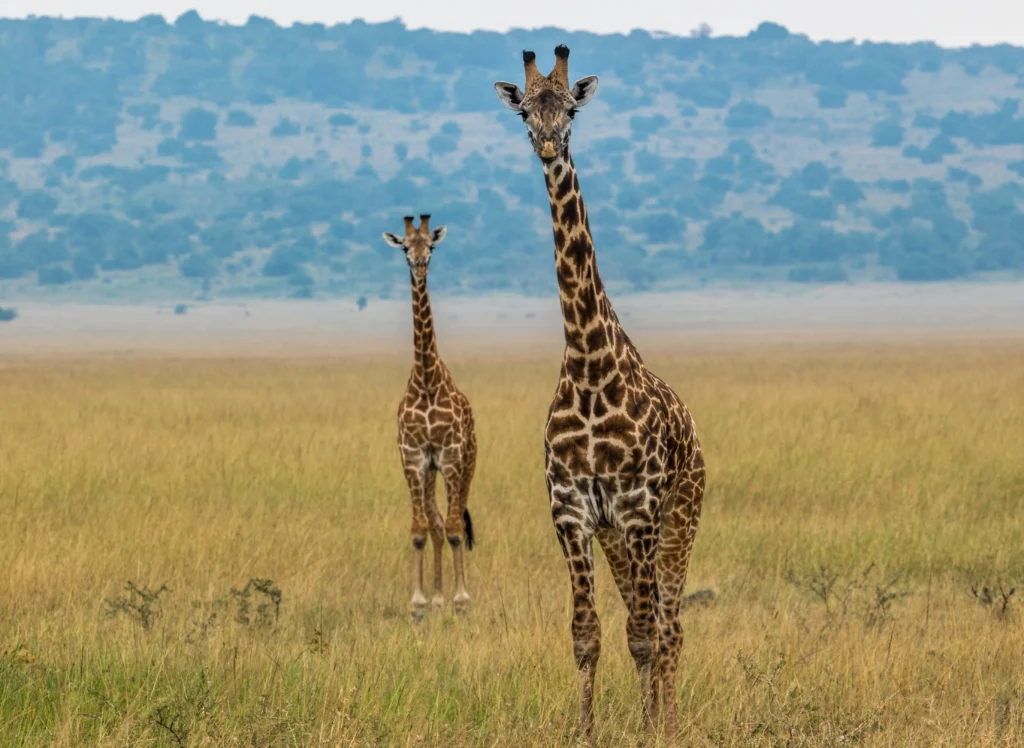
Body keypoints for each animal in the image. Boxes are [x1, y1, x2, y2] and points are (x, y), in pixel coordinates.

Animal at [494, 47, 706, 739]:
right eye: (526, 111)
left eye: (572, 108)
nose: (548, 143)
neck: (588, 367)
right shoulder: (572, 513)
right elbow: (586, 634)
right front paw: (584, 731)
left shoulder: (639, 511)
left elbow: (642, 635)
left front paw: (648, 730)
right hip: (620, 537)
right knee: (652, 621)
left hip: (679, 520)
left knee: (669, 626)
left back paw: (669, 722)